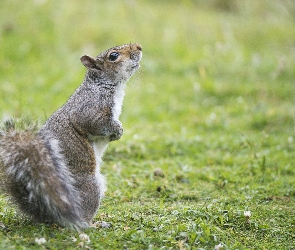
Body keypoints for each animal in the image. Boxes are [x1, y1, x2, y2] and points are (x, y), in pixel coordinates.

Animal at [0, 42, 143, 229]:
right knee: (82, 217)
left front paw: (116, 134)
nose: (139, 47)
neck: (104, 85)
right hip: (89, 185)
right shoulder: (90, 109)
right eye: (113, 56)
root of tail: (50, 213)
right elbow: (95, 124)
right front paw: (118, 130)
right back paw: (93, 224)